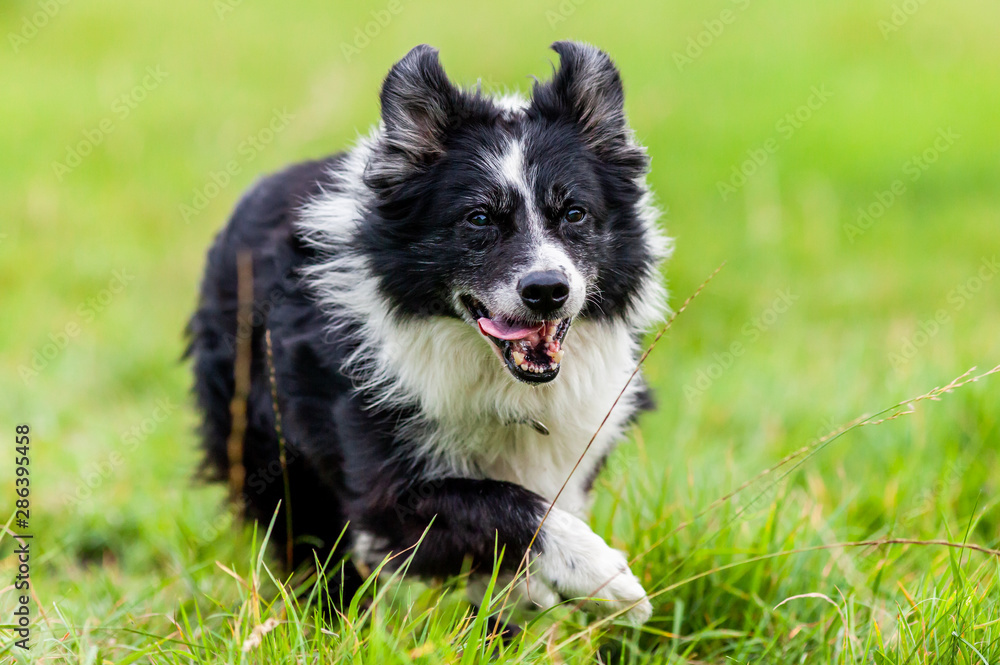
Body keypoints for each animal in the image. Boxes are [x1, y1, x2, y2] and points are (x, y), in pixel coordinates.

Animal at [188, 41, 672, 624]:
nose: (547, 290)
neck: (500, 379)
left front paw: (526, 590)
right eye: (479, 219)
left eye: (575, 213)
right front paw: (607, 581)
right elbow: (500, 503)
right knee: (307, 541)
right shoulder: (387, 494)